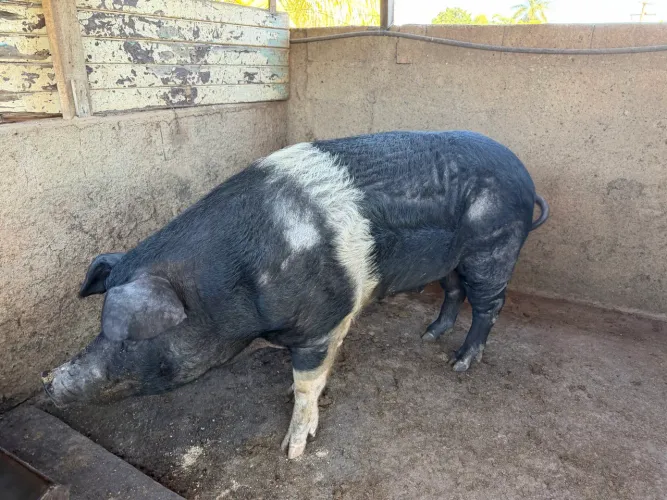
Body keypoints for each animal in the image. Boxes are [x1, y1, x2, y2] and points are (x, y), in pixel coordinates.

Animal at [42, 130, 548, 458]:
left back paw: (460, 362)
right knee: (454, 291)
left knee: (489, 305)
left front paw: (293, 451)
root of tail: (525, 174)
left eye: (130, 338)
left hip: (495, 246)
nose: (50, 380)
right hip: (454, 259)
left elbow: (308, 383)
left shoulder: (321, 323)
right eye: (99, 328)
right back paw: (430, 334)